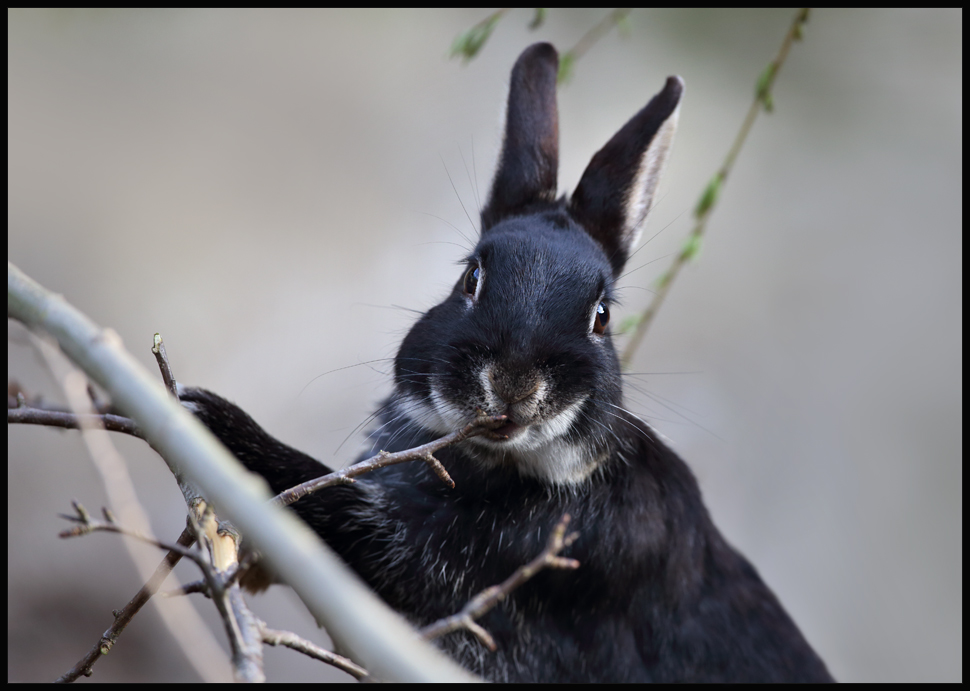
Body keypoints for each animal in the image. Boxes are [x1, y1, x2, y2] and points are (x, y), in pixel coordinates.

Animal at [182, 44, 832, 688]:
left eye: (601, 317)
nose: (514, 383)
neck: (494, 464)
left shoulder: (454, 561)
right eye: (471, 277)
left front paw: (217, 419)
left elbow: (340, 505)